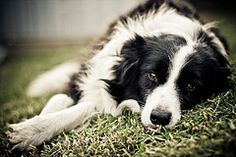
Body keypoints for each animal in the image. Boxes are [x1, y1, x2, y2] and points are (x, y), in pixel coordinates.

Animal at [6, 0, 230, 150]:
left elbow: (88, 106)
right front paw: (32, 127)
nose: (160, 118)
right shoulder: (84, 77)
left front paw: (29, 133)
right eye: (152, 76)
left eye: (192, 86)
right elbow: (59, 98)